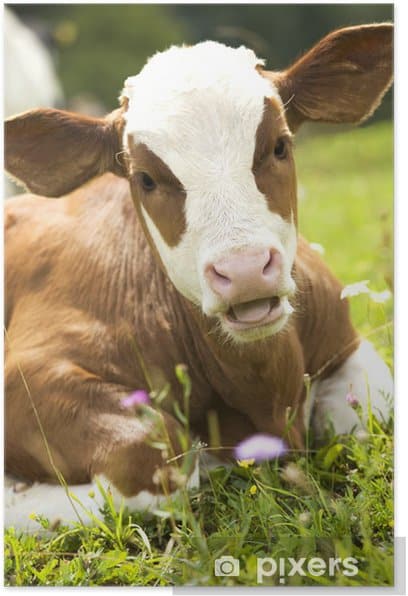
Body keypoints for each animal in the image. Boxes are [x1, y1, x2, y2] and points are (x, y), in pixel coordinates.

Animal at [4, 23, 394, 528]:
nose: (244, 269)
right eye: (146, 178)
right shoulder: (27, 373)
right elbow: (158, 463)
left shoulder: (345, 341)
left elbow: (364, 412)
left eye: (280, 145)